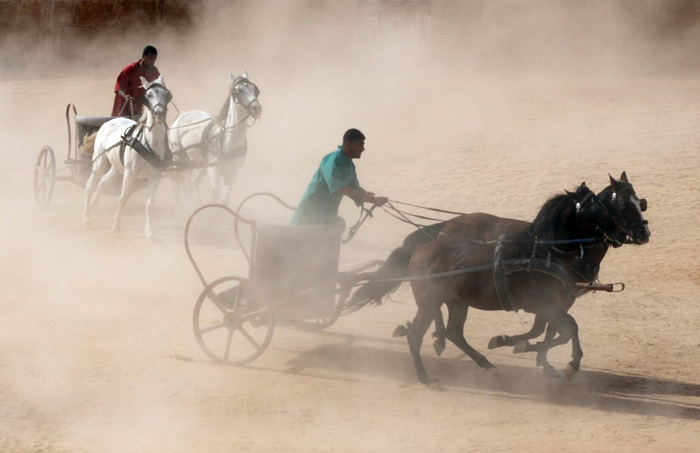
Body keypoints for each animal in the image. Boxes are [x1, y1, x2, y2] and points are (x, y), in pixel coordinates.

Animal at [83, 75, 172, 237]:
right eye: (149, 95)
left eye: (166, 94)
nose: (159, 113)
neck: (149, 143)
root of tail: (110, 121)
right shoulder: (130, 174)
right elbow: (123, 198)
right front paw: (116, 225)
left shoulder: (156, 177)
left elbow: (149, 204)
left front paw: (149, 232)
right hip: (100, 162)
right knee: (90, 185)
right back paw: (86, 217)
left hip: (117, 168)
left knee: (103, 181)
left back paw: (93, 204)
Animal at [168, 71, 262, 205]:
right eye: (238, 90)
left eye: (254, 89)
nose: (257, 108)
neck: (227, 141)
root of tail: (182, 114)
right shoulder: (213, 169)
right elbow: (216, 194)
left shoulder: (232, 172)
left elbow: (225, 198)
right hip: (178, 157)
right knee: (177, 182)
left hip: (200, 164)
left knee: (193, 181)